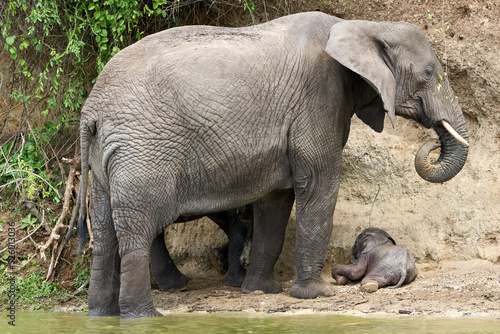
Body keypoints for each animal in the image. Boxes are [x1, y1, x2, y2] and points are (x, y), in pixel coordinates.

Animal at [74, 11, 468, 318]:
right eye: (429, 72)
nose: (432, 141)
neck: (362, 26)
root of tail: (91, 109)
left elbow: (275, 200)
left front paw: (262, 292)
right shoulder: (319, 98)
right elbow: (319, 183)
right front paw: (318, 294)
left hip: (109, 156)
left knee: (105, 230)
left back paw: (101, 314)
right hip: (143, 150)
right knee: (138, 228)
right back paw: (145, 315)